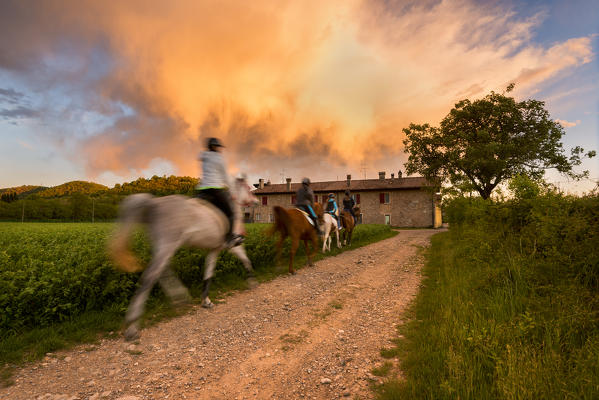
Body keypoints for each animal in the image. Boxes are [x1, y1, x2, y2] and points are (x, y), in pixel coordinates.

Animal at [109, 177, 258, 340]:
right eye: (248, 188)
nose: (256, 202)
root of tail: (154, 203)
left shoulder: (213, 249)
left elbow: (208, 274)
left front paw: (206, 301)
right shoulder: (231, 246)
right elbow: (245, 259)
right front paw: (252, 280)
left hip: (162, 246)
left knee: (161, 272)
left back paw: (180, 296)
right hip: (167, 245)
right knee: (150, 277)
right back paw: (132, 328)